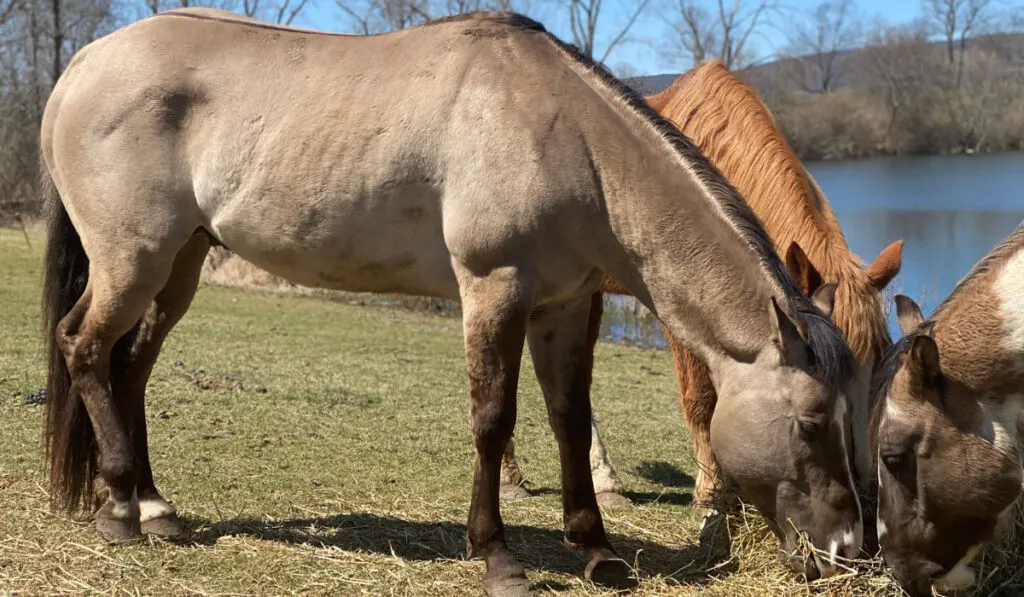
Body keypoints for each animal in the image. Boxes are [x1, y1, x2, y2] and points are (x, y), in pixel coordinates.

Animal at [39, 10, 860, 593]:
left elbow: (570, 421)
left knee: (131, 365)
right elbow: (493, 419)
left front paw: (597, 552)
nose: (846, 549)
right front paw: (498, 556)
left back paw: (156, 507)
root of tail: (82, 64)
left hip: (179, 263)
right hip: (132, 260)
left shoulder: (564, 307)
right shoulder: (495, 287)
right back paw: (120, 511)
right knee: (84, 346)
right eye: (810, 422)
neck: (571, 139)